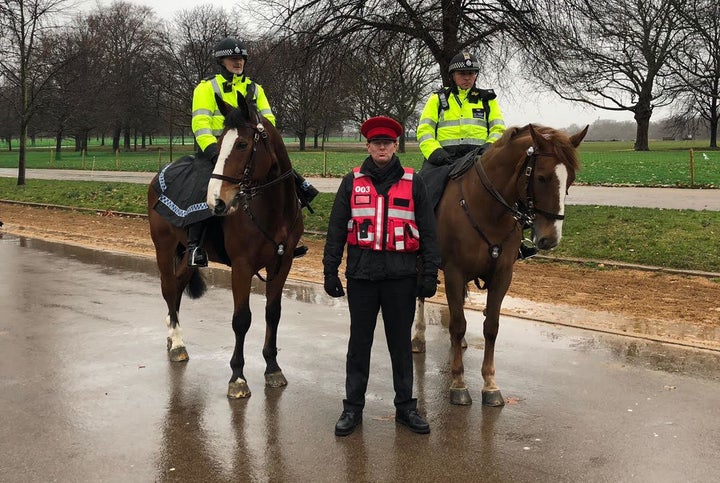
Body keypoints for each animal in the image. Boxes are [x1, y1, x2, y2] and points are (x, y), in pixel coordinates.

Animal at [146, 92, 304, 398]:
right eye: (218, 146)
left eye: (242, 144)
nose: (216, 201)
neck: (272, 210)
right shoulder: (242, 267)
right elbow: (241, 319)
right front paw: (238, 377)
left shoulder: (282, 263)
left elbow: (273, 313)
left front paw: (272, 368)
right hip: (164, 248)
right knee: (169, 288)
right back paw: (177, 342)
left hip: (187, 256)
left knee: (178, 286)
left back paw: (173, 334)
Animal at [414, 125, 588, 408]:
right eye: (542, 177)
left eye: (570, 179)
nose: (550, 238)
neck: (486, 208)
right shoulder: (453, 272)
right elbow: (458, 324)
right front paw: (459, 382)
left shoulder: (502, 275)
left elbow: (491, 327)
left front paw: (490, 384)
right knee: (421, 295)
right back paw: (418, 337)